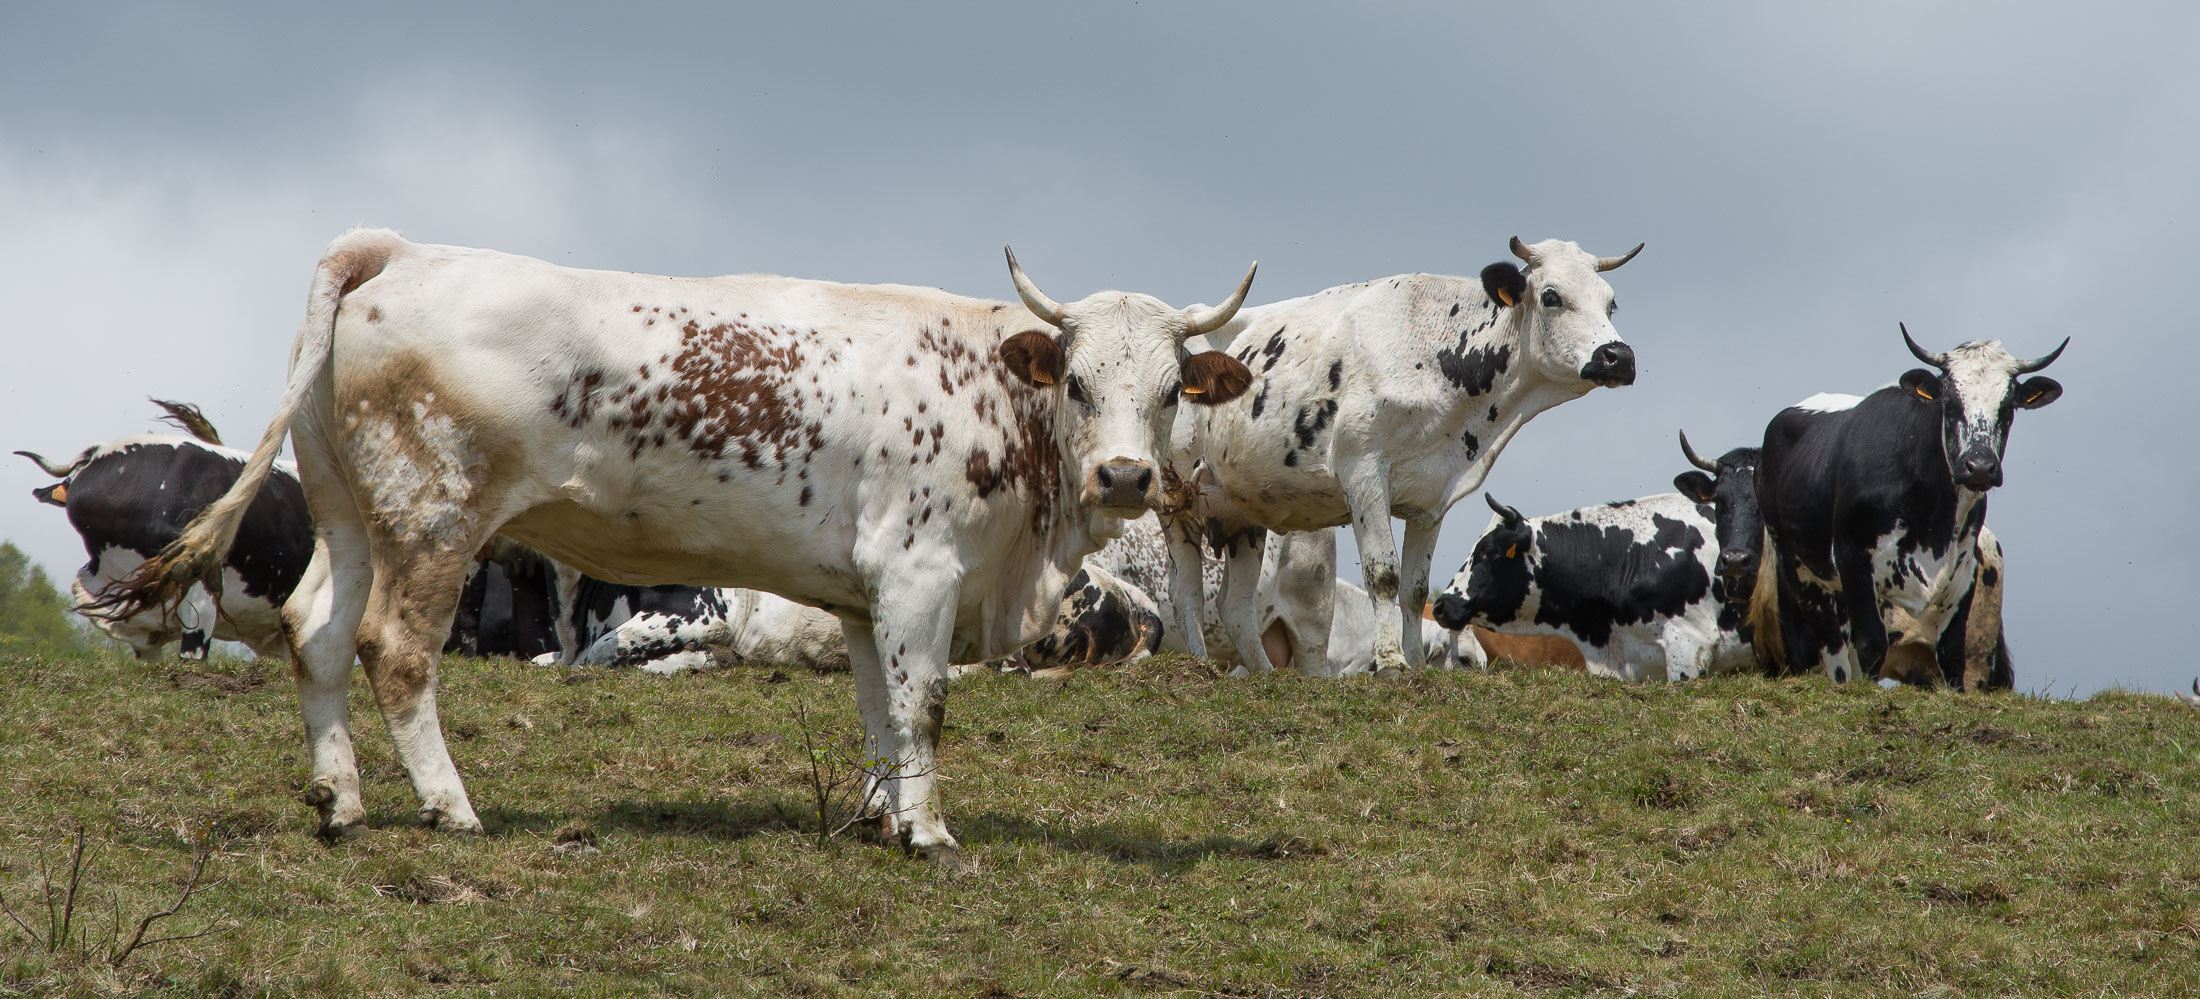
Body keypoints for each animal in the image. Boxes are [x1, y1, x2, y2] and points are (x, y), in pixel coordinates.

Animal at [94, 229, 1257, 863]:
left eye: (1169, 390)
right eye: (1078, 381)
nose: (1125, 477)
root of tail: (404, 250)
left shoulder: (862, 593)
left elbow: (879, 712)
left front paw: (884, 821)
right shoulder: (921, 571)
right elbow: (923, 703)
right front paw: (928, 833)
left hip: (350, 514)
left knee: (319, 634)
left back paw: (341, 801)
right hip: (434, 520)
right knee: (395, 649)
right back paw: (450, 806)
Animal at [1165, 236, 1643, 676]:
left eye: (1611, 303)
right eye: (1551, 296)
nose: (1618, 356)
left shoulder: (1433, 497)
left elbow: (1414, 587)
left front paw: (1414, 662)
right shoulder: (1362, 471)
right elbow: (1384, 573)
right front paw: (1391, 662)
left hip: (1243, 514)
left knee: (1236, 606)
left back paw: (1265, 674)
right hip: (1177, 500)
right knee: (1186, 592)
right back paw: (1197, 661)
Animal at [1753, 326, 2062, 687]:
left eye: (2009, 407)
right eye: (1950, 403)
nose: (1980, 467)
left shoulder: (1963, 568)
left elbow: (1952, 654)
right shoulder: (1853, 557)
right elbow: (1871, 644)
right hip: (1800, 569)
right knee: (1833, 646)